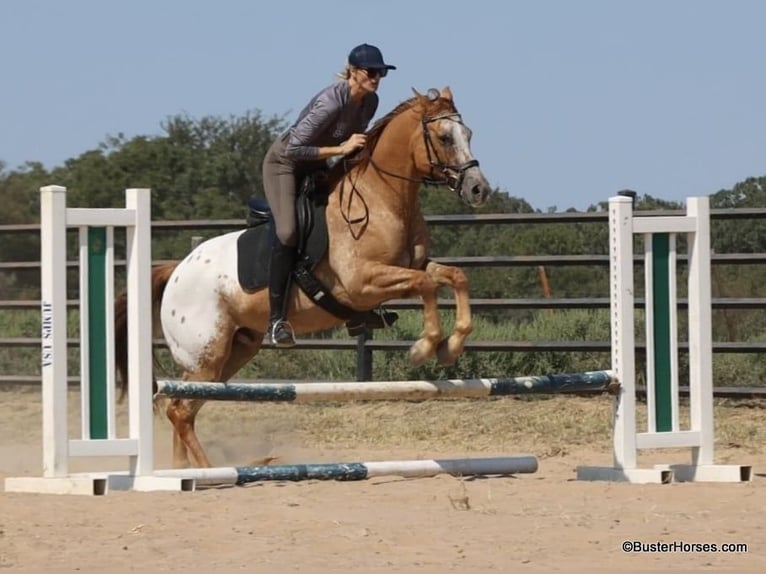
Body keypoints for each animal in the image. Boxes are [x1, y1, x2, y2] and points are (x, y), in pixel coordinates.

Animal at [115, 86, 492, 469]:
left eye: (469, 133)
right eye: (445, 138)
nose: (479, 189)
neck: (381, 198)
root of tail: (176, 271)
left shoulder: (414, 267)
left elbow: (455, 276)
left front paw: (451, 346)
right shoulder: (363, 283)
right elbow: (428, 285)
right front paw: (424, 347)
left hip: (235, 351)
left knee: (182, 409)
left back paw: (183, 471)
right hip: (206, 356)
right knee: (179, 409)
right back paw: (205, 473)